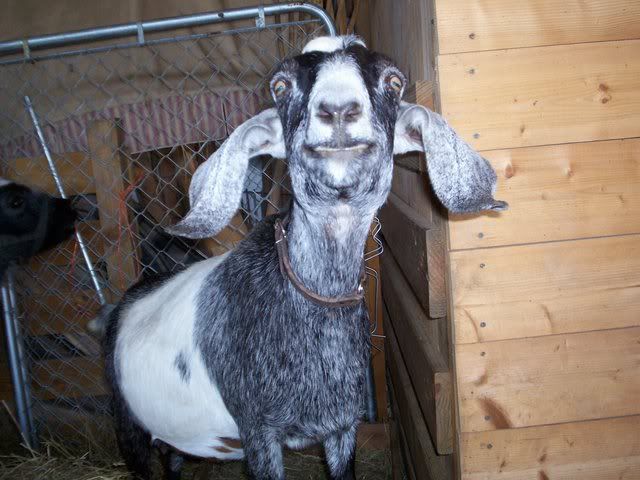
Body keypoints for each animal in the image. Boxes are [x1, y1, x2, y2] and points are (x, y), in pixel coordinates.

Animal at [104, 35, 507, 480]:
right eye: (280, 86)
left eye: (394, 81)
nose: (338, 108)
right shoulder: (259, 433)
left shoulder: (342, 427)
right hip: (128, 429)